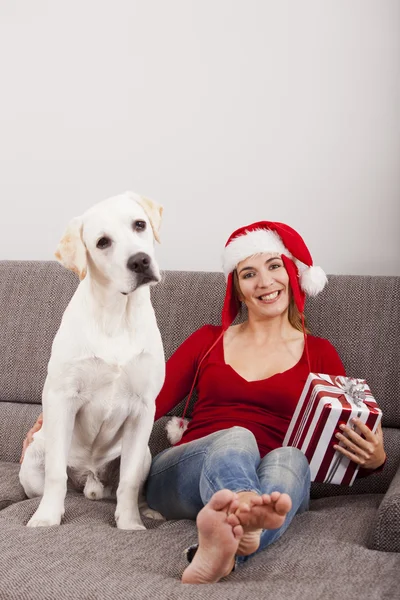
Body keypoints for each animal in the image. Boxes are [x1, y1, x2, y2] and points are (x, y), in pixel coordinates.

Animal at [18, 191, 166, 528]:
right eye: (102, 242)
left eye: (139, 225)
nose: (140, 260)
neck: (117, 316)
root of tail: (91, 478)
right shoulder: (62, 398)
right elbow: (56, 475)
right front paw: (47, 519)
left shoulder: (143, 408)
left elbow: (129, 483)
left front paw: (130, 525)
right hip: (32, 461)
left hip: (145, 453)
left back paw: (149, 511)